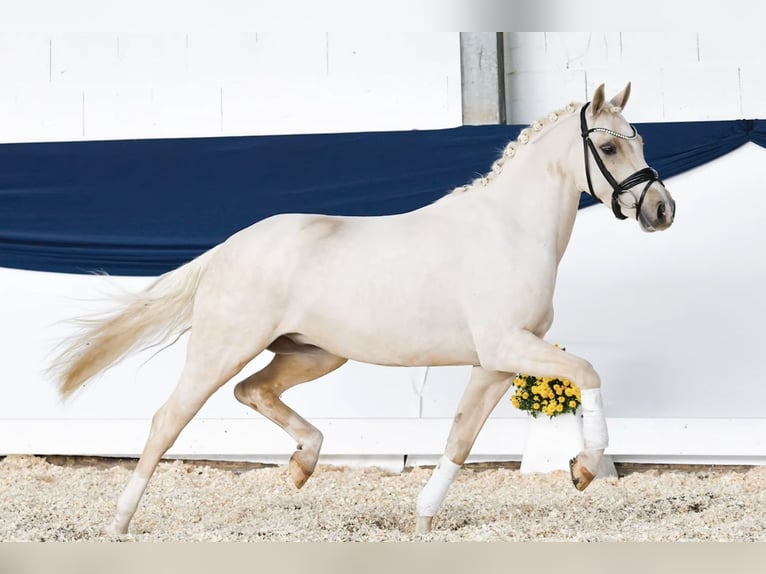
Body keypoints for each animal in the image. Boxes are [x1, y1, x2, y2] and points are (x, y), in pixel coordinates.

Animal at [52, 83, 680, 536]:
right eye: (608, 147)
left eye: (642, 141)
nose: (662, 209)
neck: (510, 230)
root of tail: (229, 248)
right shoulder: (508, 346)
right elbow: (587, 372)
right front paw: (583, 468)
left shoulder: (497, 362)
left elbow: (460, 439)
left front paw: (423, 519)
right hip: (222, 348)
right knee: (168, 421)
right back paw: (119, 524)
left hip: (314, 354)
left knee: (252, 391)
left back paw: (302, 465)